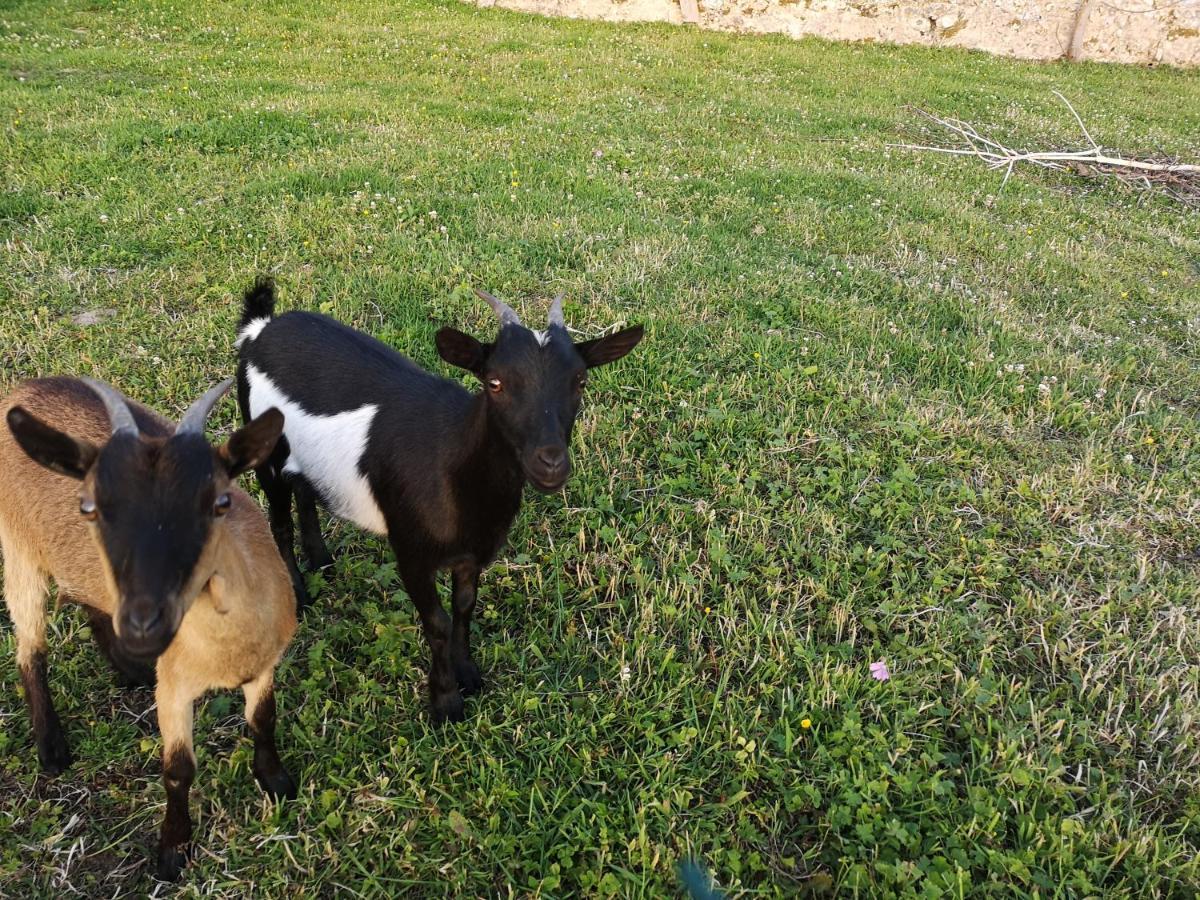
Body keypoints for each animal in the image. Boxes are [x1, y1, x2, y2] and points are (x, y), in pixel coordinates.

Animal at [0, 376, 297, 883]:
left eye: (220, 502)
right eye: (90, 508)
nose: (144, 623)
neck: (226, 650)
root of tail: (23, 388)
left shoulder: (263, 666)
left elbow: (263, 720)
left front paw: (275, 780)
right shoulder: (174, 687)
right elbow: (178, 769)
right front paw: (173, 851)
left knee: (89, 604)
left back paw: (128, 669)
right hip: (18, 550)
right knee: (29, 647)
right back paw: (52, 748)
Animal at [236, 278, 648, 724]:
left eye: (581, 381)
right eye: (494, 382)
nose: (551, 462)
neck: (452, 466)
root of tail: (260, 329)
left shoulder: (473, 553)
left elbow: (464, 607)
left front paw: (468, 674)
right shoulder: (411, 551)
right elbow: (436, 621)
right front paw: (445, 702)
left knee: (305, 491)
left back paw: (322, 561)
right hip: (265, 448)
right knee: (278, 518)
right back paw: (298, 593)